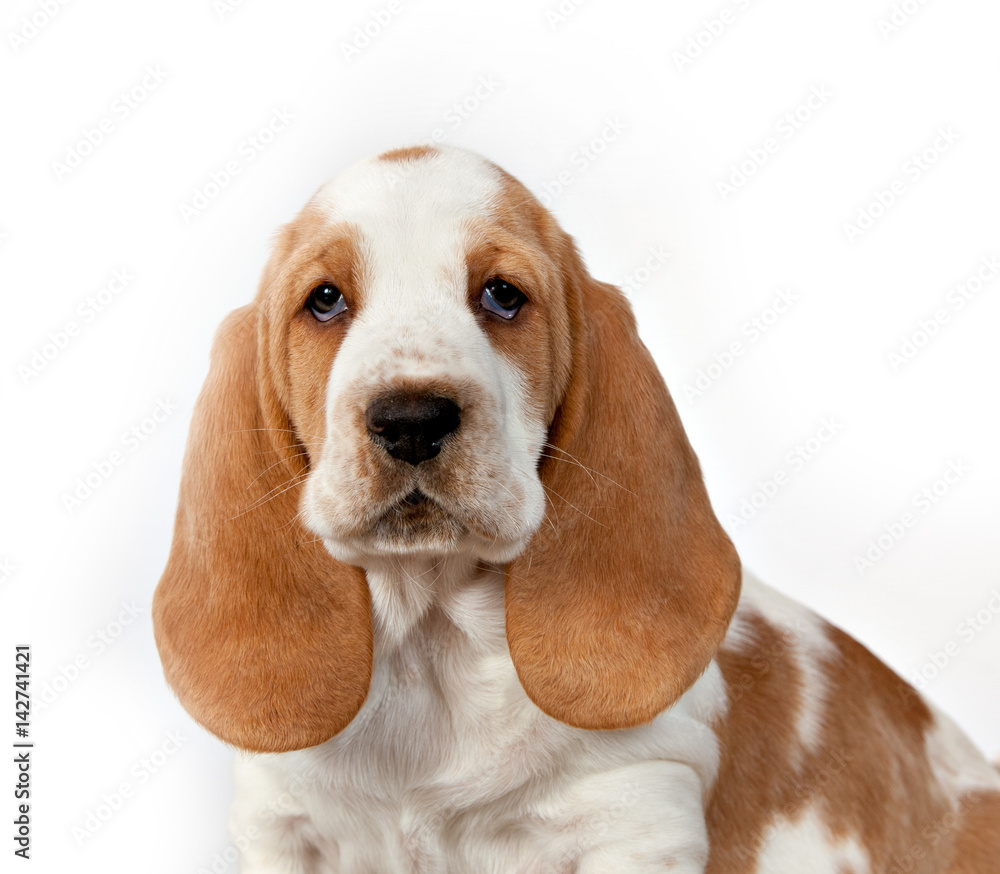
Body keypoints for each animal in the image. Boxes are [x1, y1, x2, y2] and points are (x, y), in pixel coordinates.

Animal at [150, 146, 1000, 868]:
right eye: (325, 301)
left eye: (502, 296)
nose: (412, 420)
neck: (433, 639)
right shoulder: (279, 828)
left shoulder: (634, 815)